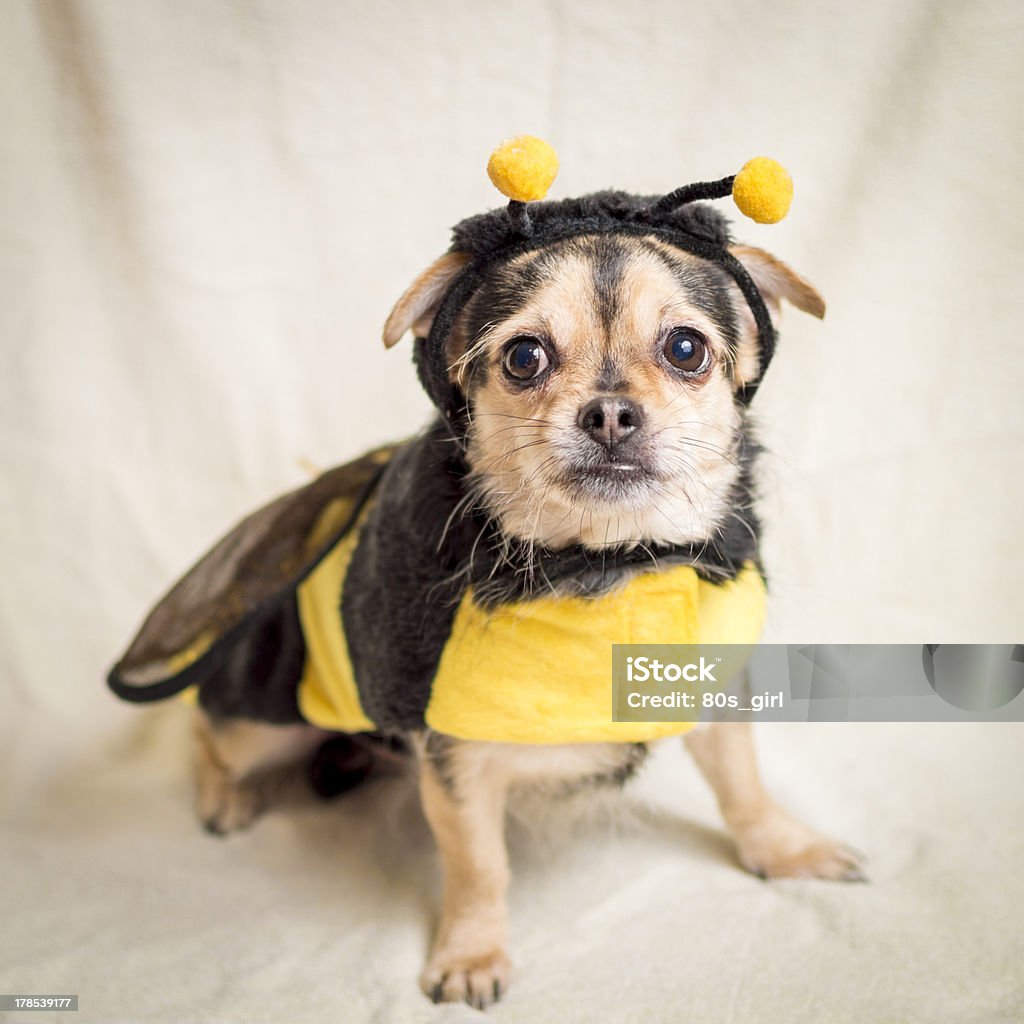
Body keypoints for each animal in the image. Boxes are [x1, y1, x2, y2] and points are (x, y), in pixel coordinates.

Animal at [110, 146, 864, 1007]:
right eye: (523, 358)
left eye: (686, 350)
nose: (610, 412)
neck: (611, 563)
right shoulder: (458, 764)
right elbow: (479, 866)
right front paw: (472, 952)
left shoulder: (715, 694)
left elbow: (744, 785)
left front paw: (785, 849)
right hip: (265, 710)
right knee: (204, 728)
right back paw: (224, 797)